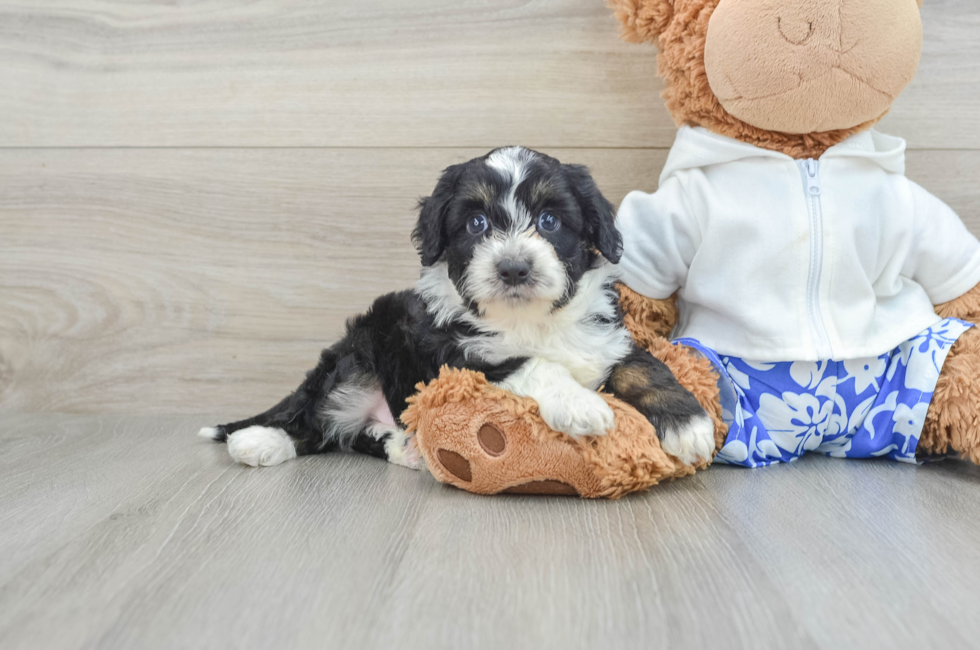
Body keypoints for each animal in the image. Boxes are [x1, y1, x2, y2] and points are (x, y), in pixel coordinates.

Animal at [197, 148, 712, 466]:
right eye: (476, 223)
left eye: (549, 220)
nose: (513, 268)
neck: (529, 320)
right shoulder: (458, 359)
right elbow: (536, 365)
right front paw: (581, 405)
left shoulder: (605, 339)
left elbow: (644, 367)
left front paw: (689, 425)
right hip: (355, 358)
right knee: (312, 420)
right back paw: (259, 442)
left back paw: (401, 447)